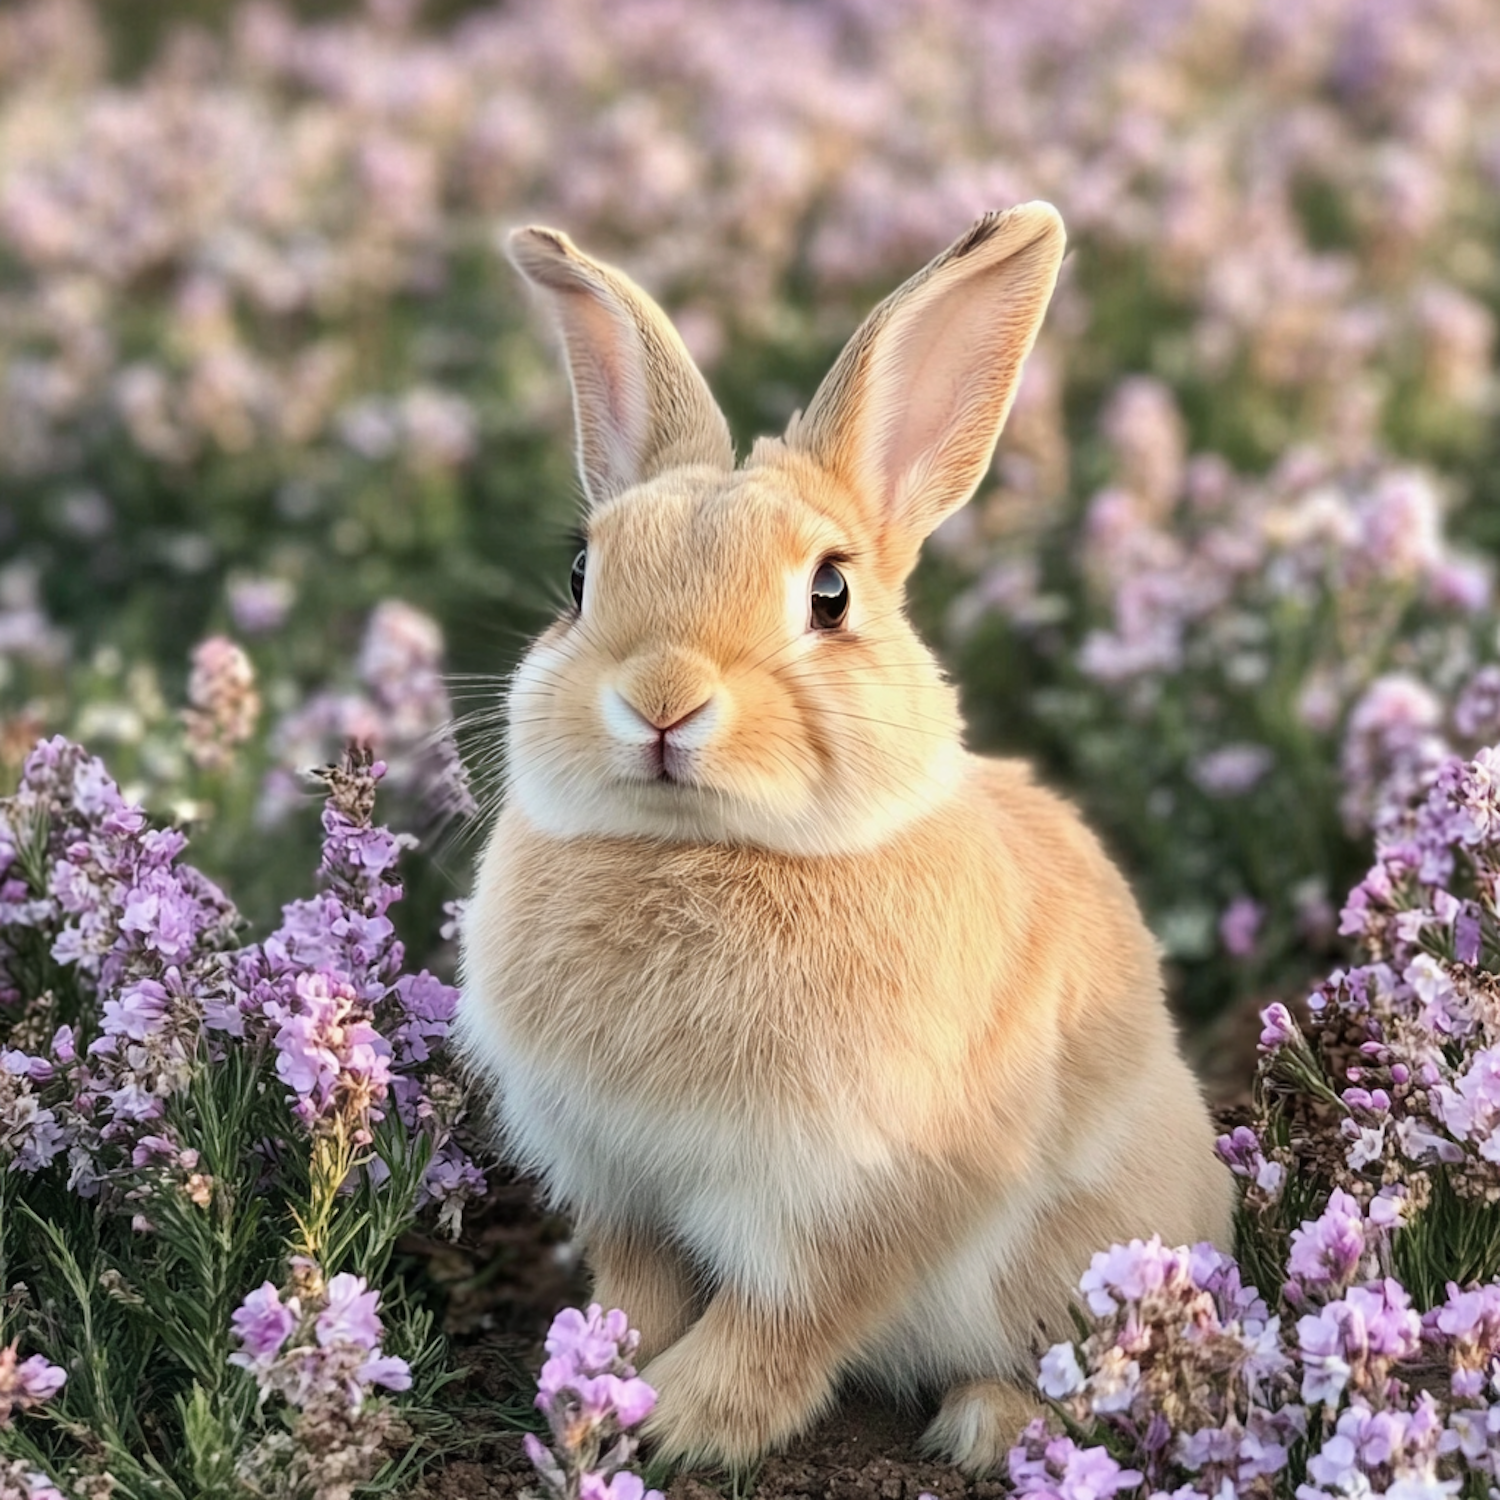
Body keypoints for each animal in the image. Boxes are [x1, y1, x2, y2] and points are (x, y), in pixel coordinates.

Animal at [456, 205, 1230, 1482]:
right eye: (579, 574)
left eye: (830, 594)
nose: (661, 699)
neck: (705, 850)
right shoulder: (620, 1185)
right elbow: (640, 1289)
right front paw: (597, 1380)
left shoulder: (844, 1208)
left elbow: (780, 1325)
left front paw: (678, 1424)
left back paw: (988, 1426)